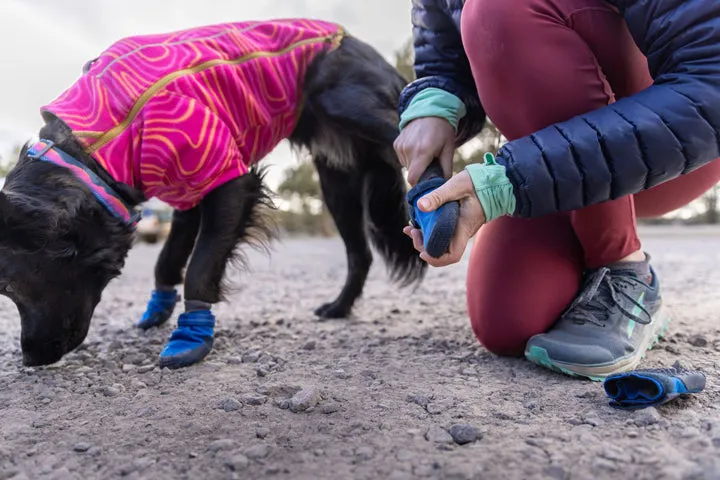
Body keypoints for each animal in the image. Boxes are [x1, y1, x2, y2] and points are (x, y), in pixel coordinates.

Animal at [0, 19, 424, 368]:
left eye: (7, 287)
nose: (30, 359)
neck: (94, 147)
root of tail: (359, 43)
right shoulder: (187, 191)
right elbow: (167, 262)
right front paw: (158, 311)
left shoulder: (229, 180)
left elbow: (200, 269)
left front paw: (190, 336)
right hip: (337, 182)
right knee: (360, 253)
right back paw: (339, 308)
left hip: (348, 107)